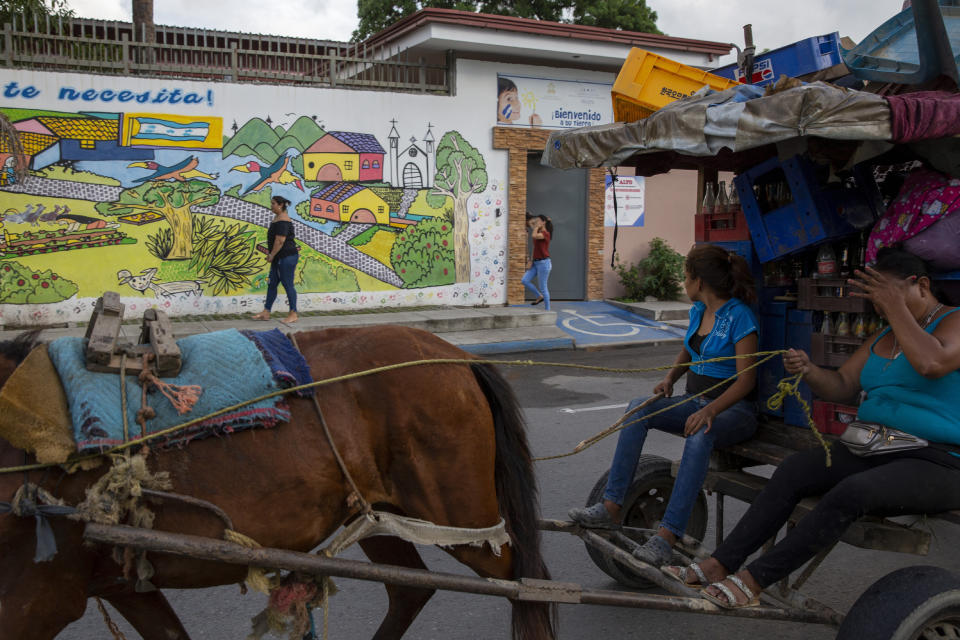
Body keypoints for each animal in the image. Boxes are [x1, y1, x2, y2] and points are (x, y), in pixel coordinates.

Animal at [0, 328, 556, 640]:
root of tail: (457, 357)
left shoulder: (41, 596)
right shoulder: (123, 583)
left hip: (459, 517)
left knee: (528, 585)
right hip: (381, 514)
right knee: (409, 592)